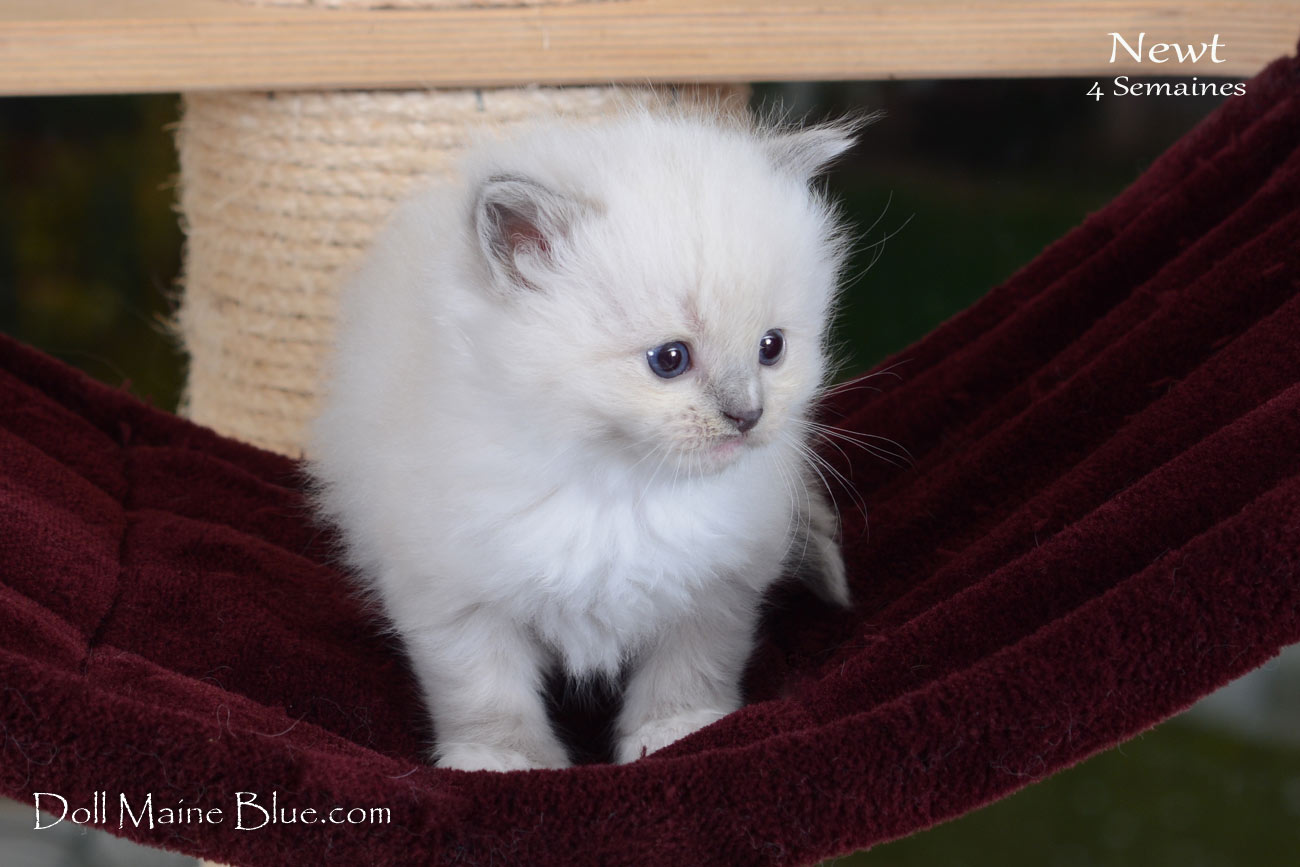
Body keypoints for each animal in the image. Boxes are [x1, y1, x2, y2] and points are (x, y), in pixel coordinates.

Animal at [307, 104, 856, 771]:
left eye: (771, 348)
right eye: (669, 359)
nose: (748, 415)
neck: (620, 488)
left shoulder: (712, 591)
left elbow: (689, 673)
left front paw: (680, 733)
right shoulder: (453, 596)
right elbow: (484, 692)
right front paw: (502, 762)